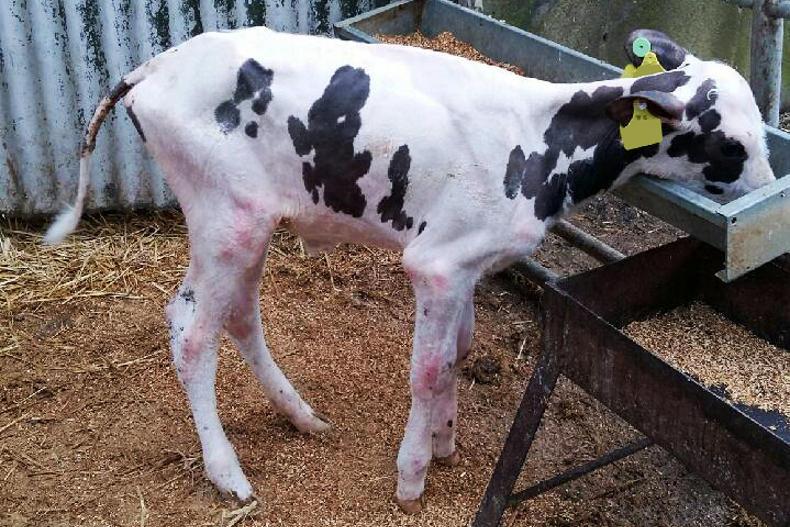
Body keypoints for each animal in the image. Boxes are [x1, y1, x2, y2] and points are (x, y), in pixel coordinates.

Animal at [44, 27, 775, 513]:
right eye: (732, 144)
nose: (769, 195)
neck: (539, 144)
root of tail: (153, 66)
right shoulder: (437, 264)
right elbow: (425, 369)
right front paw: (413, 475)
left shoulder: (469, 262)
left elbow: (458, 351)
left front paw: (447, 439)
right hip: (224, 217)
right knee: (193, 329)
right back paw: (228, 472)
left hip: (249, 220)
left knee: (239, 314)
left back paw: (301, 415)